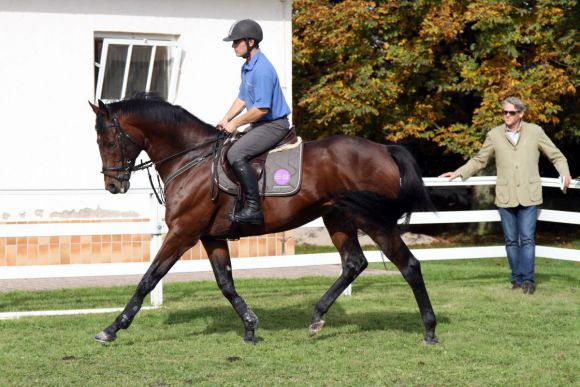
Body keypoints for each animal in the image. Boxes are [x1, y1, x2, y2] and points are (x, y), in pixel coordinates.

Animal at [88, 96, 438, 346]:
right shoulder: (211, 236)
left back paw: (430, 331)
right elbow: (226, 283)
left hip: (375, 221)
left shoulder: (183, 232)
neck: (192, 159)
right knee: (354, 263)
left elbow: (148, 278)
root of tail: (384, 149)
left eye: (107, 141)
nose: (113, 185)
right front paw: (250, 326)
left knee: (409, 265)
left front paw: (112, 328)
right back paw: (317, 317)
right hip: (338, 217)